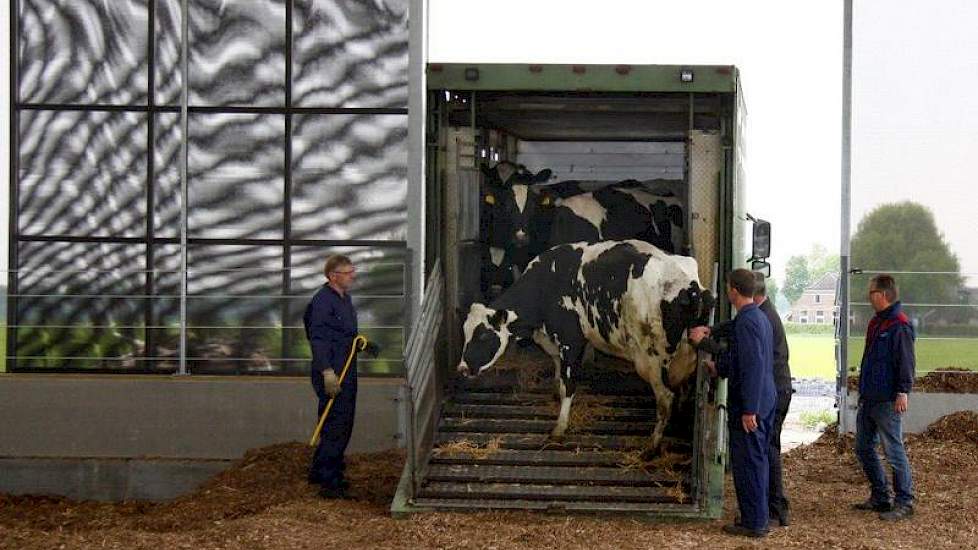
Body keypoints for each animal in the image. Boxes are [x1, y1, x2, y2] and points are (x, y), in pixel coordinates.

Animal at [454, 240, 712, 458]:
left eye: (483, 336)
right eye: (464, 333)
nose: (463, 369)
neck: (548, 282)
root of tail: (690, 286)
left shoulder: (571, 339)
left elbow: (569, 384)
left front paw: (560, 427)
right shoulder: (556, 341)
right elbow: (558, 372)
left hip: (652, 359)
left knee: (665, 398)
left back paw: (652, 446)